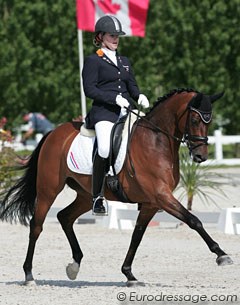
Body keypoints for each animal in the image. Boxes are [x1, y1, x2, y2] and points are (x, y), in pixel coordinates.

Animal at [0, 87, 233, 284]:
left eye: (209, 121)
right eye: (194, 119)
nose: (201, 156)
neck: (156, 142)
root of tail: (53, 133)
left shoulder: (151, 203)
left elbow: (137, 236)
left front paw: (129, 274)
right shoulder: (161, 196)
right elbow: (194, 221)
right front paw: (222, 255)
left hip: (86, 196)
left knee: (64, 217)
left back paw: (74, 265)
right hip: (48, 190)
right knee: (36, 225)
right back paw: (29, 274)